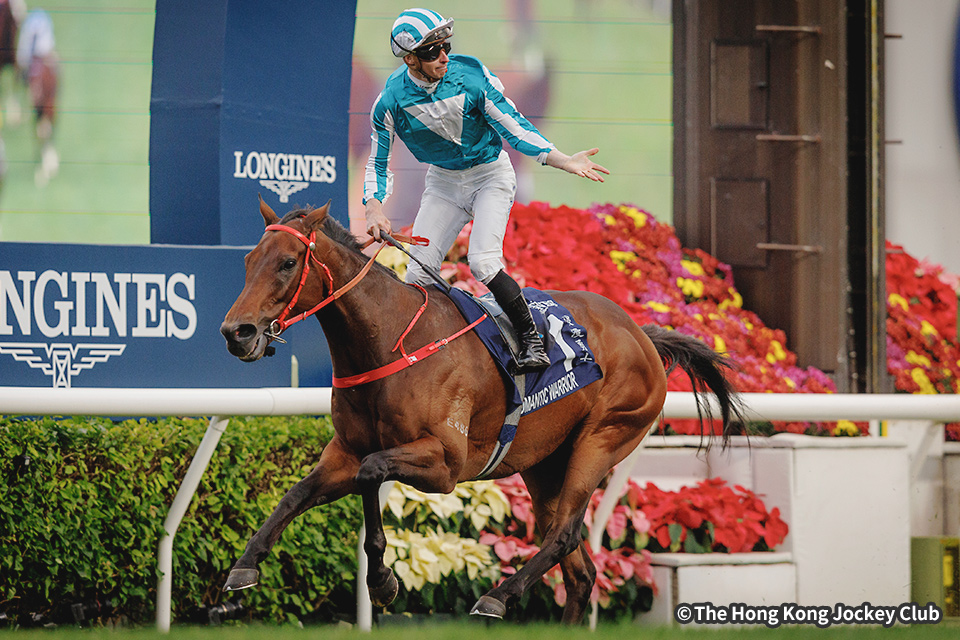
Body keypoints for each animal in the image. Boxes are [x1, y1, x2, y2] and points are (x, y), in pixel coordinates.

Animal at [219, 198, 745, 624]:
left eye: (288, 262)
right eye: (248, 260)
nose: (236, 332)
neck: (387, 342)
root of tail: (641, 334)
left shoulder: (445, 464)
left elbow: (373, 472)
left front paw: (382, 582)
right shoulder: (343, 453)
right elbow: (295, 495)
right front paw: (243, 569)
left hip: (603, 438)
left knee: (564, 535)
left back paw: (498, 595)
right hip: (545, 464)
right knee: (579, 572)